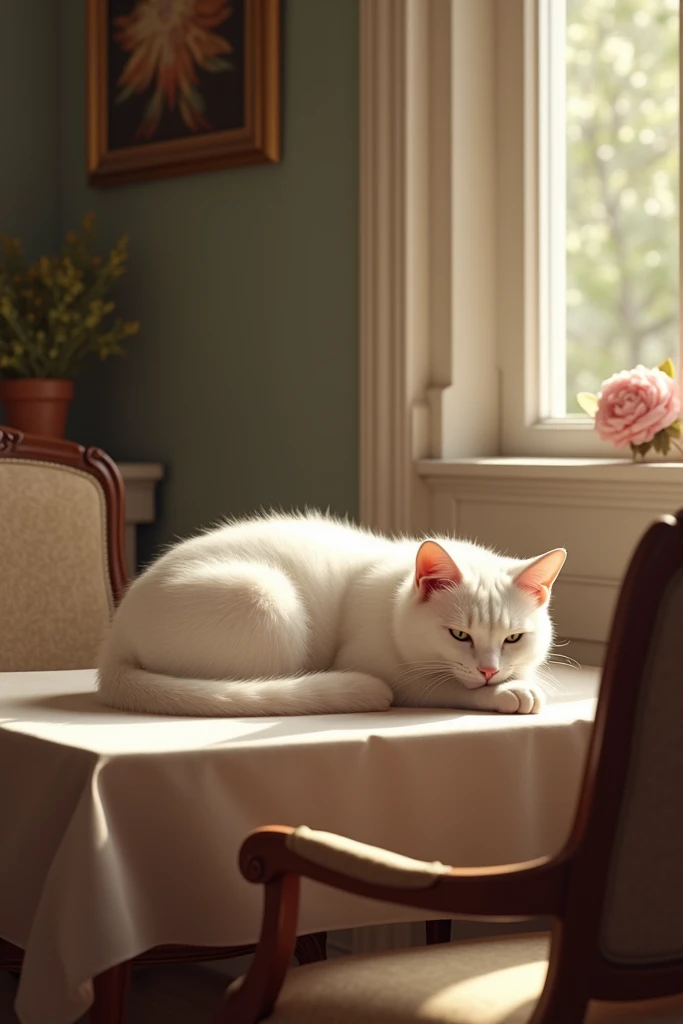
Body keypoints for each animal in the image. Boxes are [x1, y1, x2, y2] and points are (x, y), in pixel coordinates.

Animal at [96, 516, 565, 716]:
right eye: (459, 635)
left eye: (513, 639)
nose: (489, 671)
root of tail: (115, 641)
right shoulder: (382, 669)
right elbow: (440, 687)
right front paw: (508, 693)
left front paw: (516, 681)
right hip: (265, 596)